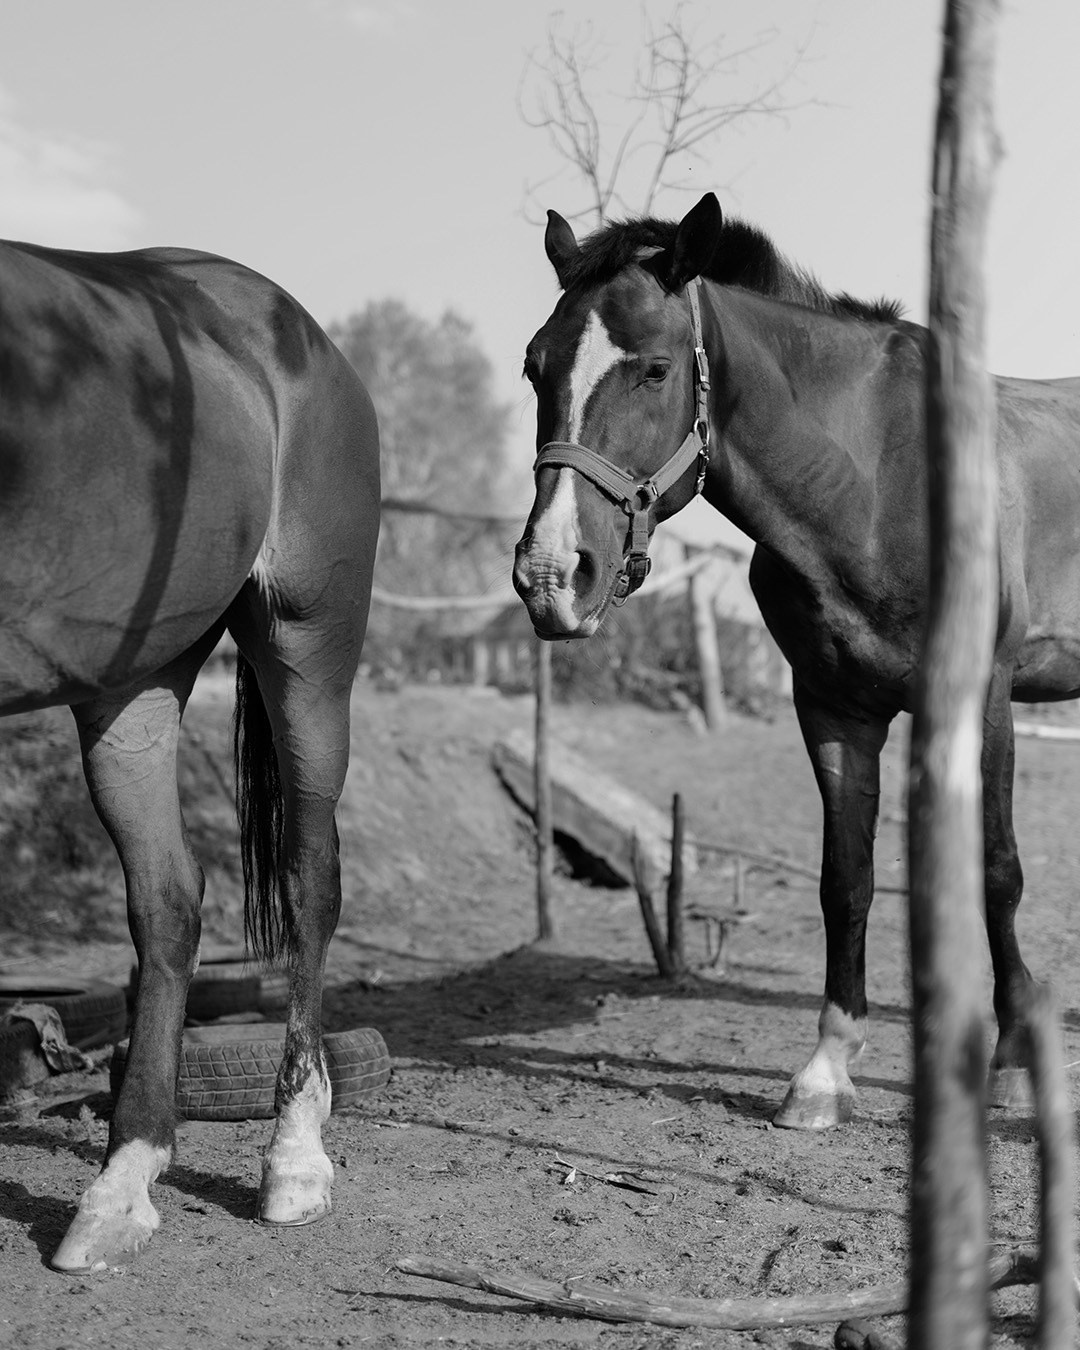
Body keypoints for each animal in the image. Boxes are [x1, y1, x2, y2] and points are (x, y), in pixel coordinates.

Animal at [0, 238, 380, 1270]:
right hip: (132, 685)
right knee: (169, 902)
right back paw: (120, 1186)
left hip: (307, 648)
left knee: (311, 880)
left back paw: (294, 1160)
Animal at [513, 190, 1080, 1131]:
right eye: (533, 368)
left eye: (656, 371)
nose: (553, 574)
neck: (879, 479)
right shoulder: (832, 709)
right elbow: (844, 880)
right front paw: (824, 1071)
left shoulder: (984, 697)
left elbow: (997, 873)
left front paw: (1006, 1063)